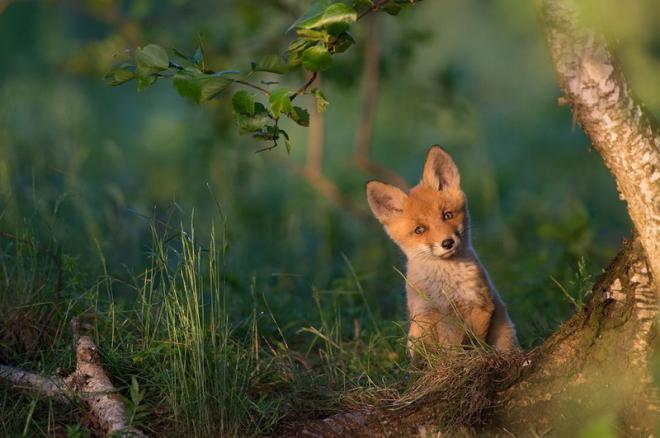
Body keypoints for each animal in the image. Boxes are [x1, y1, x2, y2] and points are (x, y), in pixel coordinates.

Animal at [366, 145, 516, 354]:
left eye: (447, 215)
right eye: (419, 230)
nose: (447, 243)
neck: (444, 289)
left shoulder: (481, 305)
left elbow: (470, 344)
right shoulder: (423, 315)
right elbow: (428, 353)